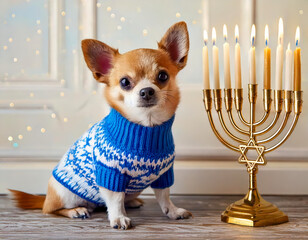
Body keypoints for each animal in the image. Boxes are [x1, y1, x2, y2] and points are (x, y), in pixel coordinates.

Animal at [10, 21, 191, 230]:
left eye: (162, 76)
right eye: (125, 82)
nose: (146, 91)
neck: (147, 127)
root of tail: (46, 198)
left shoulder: (164, 174)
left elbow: (164, 196)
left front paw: (173, 211)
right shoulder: (110, 174)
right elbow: (115, 200)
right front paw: (118, 217)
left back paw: (131, 202)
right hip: (65, 194)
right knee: (51, 210)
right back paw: (76, 210)